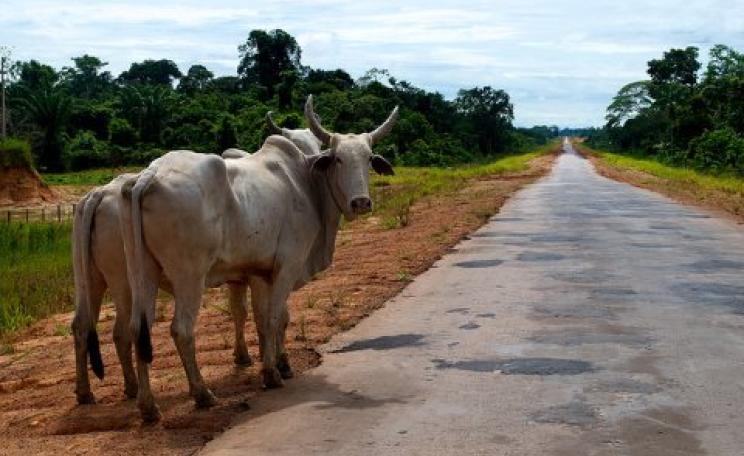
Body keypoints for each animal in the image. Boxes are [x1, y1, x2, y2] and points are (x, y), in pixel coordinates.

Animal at [70, 117, 323, 406]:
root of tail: (99, 193)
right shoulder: (263, 273)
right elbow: (271, 315)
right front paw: (278, 363)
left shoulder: (239, 276)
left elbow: (240, 312)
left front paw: (245, 356)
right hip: (132, 280)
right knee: (133, 331)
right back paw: (167, 391)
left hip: (93, 279)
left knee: (87, 326)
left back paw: (91, 392)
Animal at [121, 95, 398, 422]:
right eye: (338, 158)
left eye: (368, 158)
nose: (361, 202)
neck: (306, 182)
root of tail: (149, 175)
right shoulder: (288, 265)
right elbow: (275, 317)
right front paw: (271, 373)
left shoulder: (260, 272)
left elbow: (267, 319)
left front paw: (281, 363)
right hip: (190, 276)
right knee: (181, 330)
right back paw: (202, 394)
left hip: (142, 273)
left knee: (138, 330)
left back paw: (148, 406)